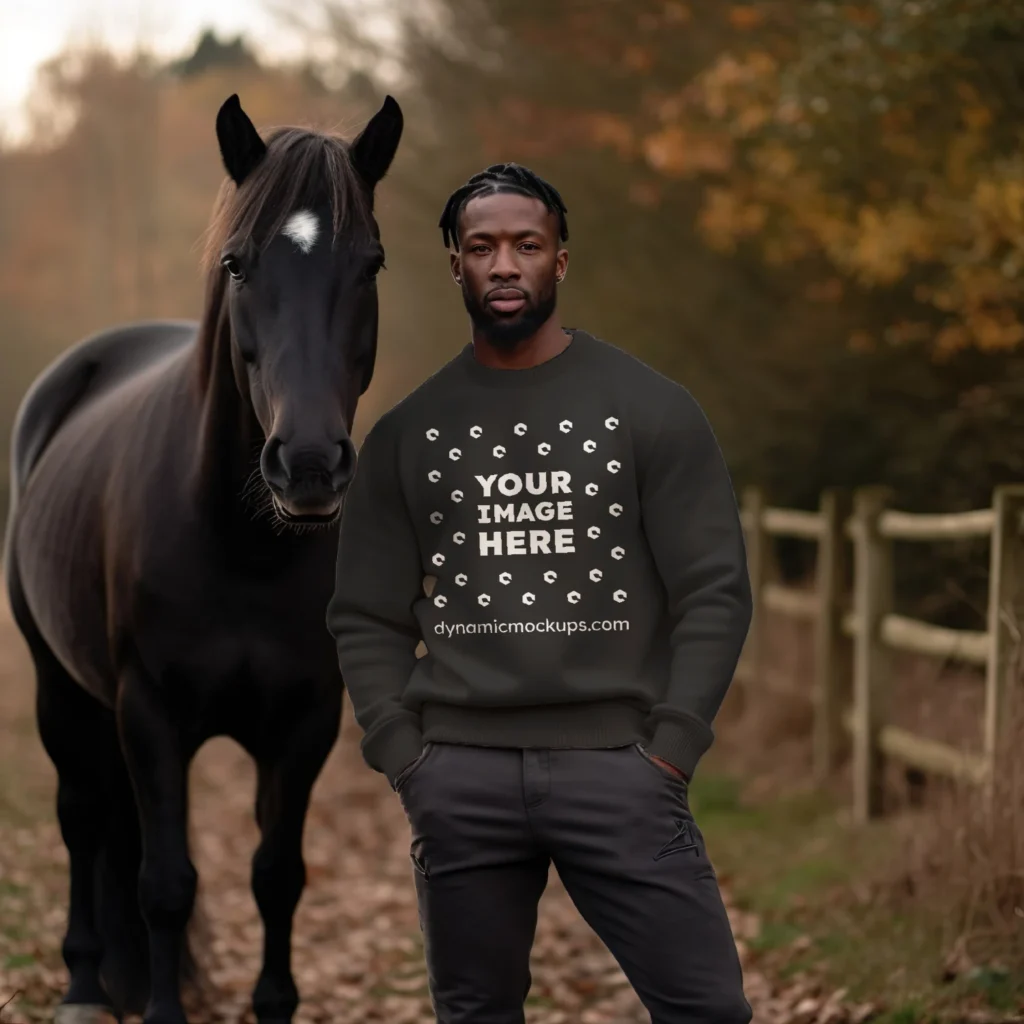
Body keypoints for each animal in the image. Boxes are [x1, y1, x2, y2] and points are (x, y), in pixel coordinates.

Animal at [4, 92, 403, 1019]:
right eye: (237, 264)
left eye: (371, 264)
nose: (308, 464)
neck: (239, 547)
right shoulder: (151, 716)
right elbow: (166, 884)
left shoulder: (305, 724)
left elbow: (277, 877)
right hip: (59, 688)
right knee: (83, 816)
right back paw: (85, 984)